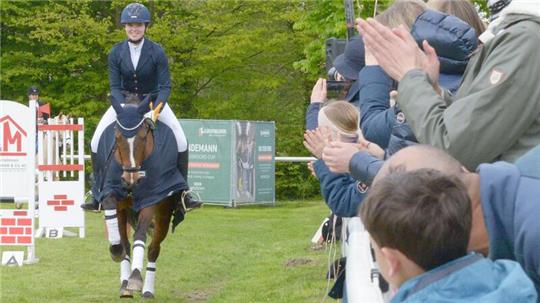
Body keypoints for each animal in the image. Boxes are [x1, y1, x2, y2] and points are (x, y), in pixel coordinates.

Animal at [91, 95, 188, 300]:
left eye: (143, 137)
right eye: (117, 137)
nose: (131, 181)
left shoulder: (152, 198)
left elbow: (141, 235)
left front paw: (135, 278)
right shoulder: (112, 193)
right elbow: (113, 214)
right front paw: (115, 251)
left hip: (164, 213)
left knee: (153, 249)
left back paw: (147, 290)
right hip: (125, 211)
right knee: (126, 243)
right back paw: (124, 285)